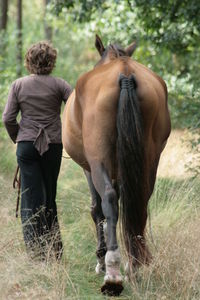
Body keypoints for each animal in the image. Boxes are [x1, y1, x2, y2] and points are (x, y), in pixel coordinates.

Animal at [62, 35, 170, 296]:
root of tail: (126, 73)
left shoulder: (89, 168)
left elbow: (97, 209)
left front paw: (100, 259)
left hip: (97, 159)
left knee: (109, 200)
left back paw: (112, 270)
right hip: (150, 157)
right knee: (140, 200)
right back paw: (135, 265)